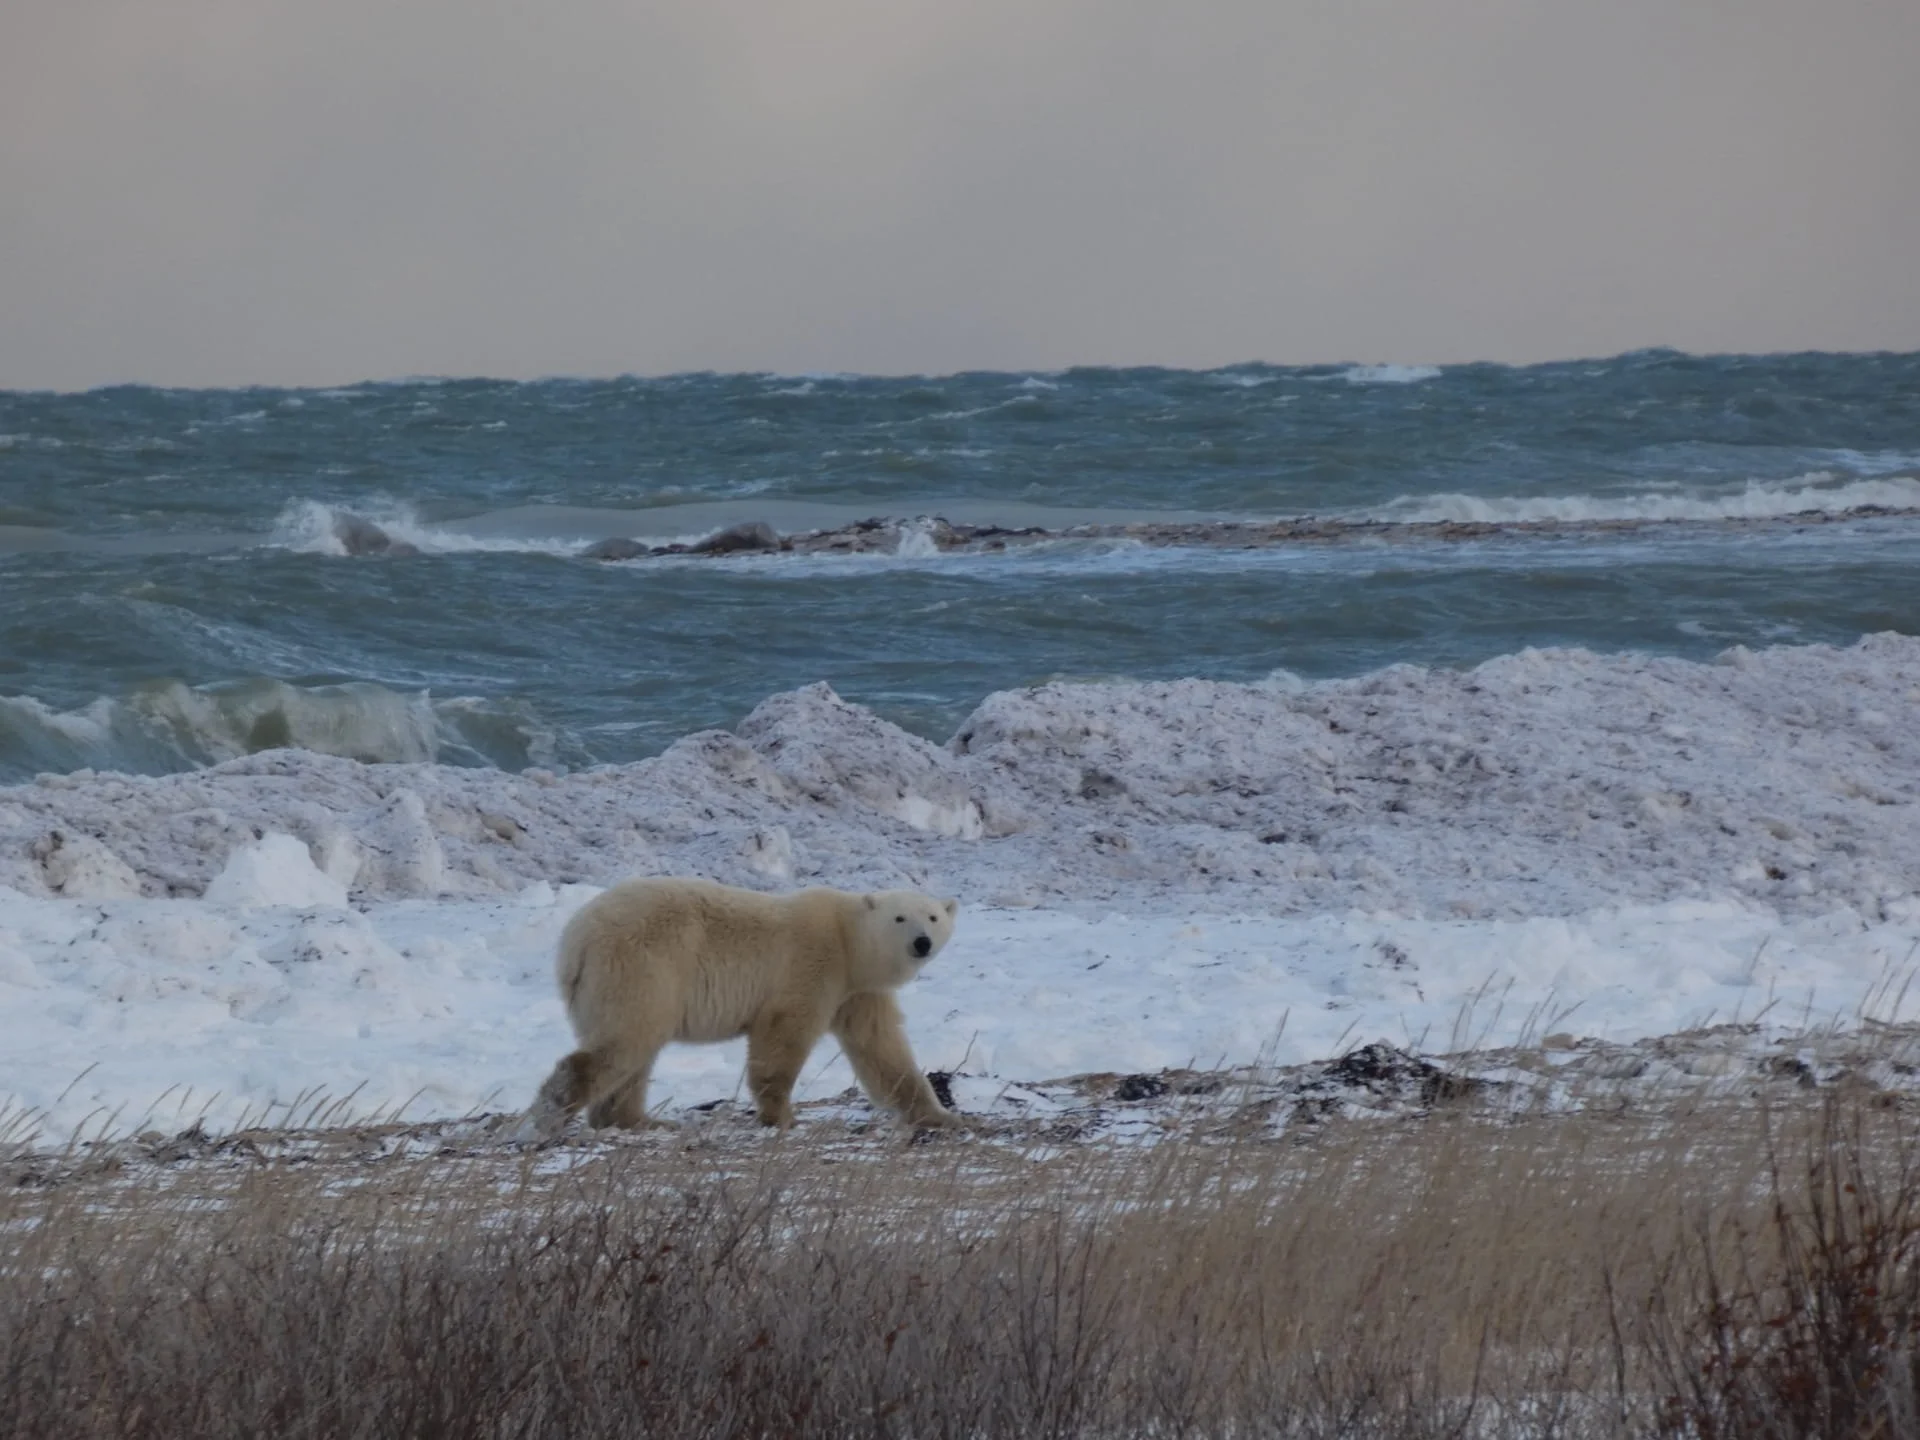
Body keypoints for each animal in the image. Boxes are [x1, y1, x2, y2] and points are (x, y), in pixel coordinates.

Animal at [524, 877, 962, 1137]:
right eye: (899, 917)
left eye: (932, 916)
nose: (921, 942)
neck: (849, 941)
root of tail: (575, 939)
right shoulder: (812, 964)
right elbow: (783, 1032)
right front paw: (780, 1115)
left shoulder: (858, 992)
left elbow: (882, 1049)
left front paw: (938, 1116)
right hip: (643, 964)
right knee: (627, 1039)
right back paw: (552, 1116)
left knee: (633, 1053)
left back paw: (634, 1119)